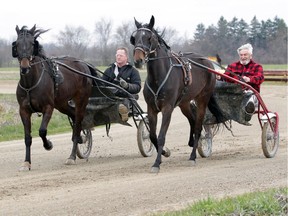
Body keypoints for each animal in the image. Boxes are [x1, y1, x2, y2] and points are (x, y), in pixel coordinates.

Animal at [12, 25, 95, 170]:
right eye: (17, 44)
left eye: (32, 43)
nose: (25, 67)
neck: (30, 83)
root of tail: (83, 64)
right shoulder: (24, 110)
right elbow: (27, 138)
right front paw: (26, 163)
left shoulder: (48, 107)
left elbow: (42, 131)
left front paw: (48, 144)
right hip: (61, 103)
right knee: (73, 116)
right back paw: (80, 138)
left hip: (81, 100)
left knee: (78, 122)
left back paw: (72, 156)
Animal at [129, 16, 224, 173]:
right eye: (134, 38)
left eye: (149, 38)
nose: (138, 60)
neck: (158, 77)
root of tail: (208, 62)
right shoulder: (151, 108)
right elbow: (153, 136)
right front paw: (164, 152)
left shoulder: (167, 108)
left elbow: (161, 136)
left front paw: (156, 163)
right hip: (184, 103)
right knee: (192, 121)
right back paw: (192, 142)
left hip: (202, 99)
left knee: (198, 126)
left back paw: (193, 156)